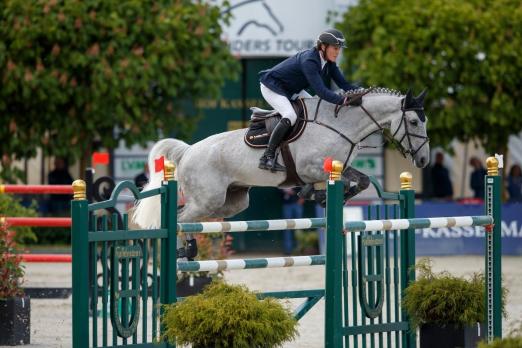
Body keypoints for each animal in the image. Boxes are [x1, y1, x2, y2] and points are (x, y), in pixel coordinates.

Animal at [133, 87, 426, 231]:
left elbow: (362, 181)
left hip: (231, 202)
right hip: (208, 199)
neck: (338, 124)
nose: (423, 161)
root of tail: (188, 151)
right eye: (413, 121)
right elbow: (332, 184)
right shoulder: (313, 169)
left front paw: (320, 197)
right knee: (180, 219)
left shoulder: (341, 167)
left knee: (187, 215)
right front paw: (320, 196)